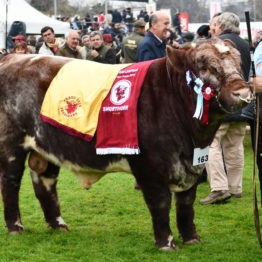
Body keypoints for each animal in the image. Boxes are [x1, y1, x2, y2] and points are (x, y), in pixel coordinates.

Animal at [0, 38, 251, 250]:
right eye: (205, 67)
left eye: (239, 62)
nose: (243, 92)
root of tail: (12, 57)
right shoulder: (150, 167)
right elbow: (161, 204)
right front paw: (166, 244)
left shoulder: (193, 164)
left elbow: (186, 205)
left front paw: (192, 239)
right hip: (11, 145)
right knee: (10, 183)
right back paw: (15, 227)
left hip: (46, 147)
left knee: (45, 182)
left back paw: (58, 225)